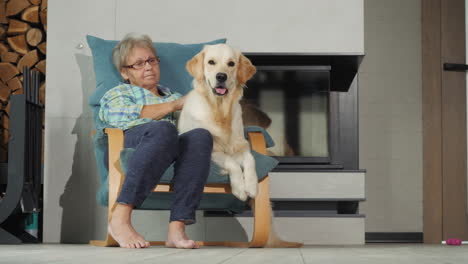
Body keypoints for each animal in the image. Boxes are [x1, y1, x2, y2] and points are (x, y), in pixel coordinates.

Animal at [179, 43, 258, 200]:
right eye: (211, 62)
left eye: (231, 64)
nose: (221, 76)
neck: (220, 111)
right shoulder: (213, 150)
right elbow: (232, 162)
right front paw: (240, 189)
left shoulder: (240, 144)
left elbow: (250, 159)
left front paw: (252, 185)